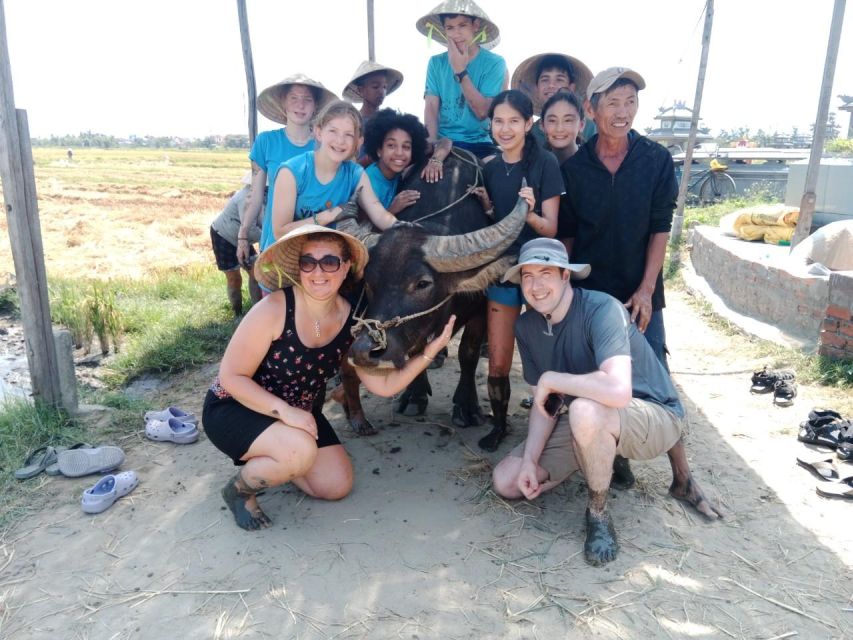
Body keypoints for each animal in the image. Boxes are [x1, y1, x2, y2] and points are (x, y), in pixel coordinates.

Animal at [338, 149, 524, 450]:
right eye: (369, 281)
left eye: (422, 283)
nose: (366, 351)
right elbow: (415, 351)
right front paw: (414, 396)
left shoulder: (481, 309)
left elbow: (468, 354)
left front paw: (467, 408)